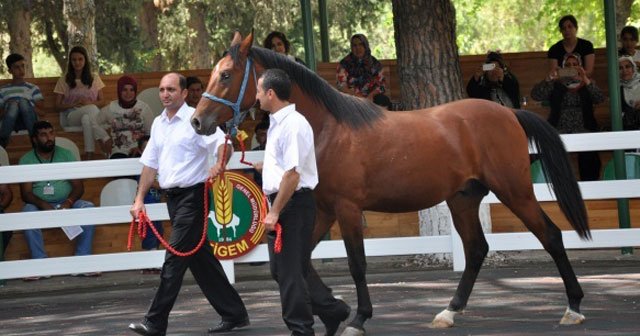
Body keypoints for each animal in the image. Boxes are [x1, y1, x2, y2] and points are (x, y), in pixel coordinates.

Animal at [190, 32, 592, 336]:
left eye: (226, 74)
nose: (197, 122)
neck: (326, 129)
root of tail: (510, 113)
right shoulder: (322, 209)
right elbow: (299, 261)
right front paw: (333, 311)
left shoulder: (347, 209)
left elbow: (356, 265)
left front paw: (357, 318)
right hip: (462, 199)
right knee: (476, 249)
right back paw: (448, 312)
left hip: (515, 191)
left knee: (551, 235)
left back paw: (573, 307)